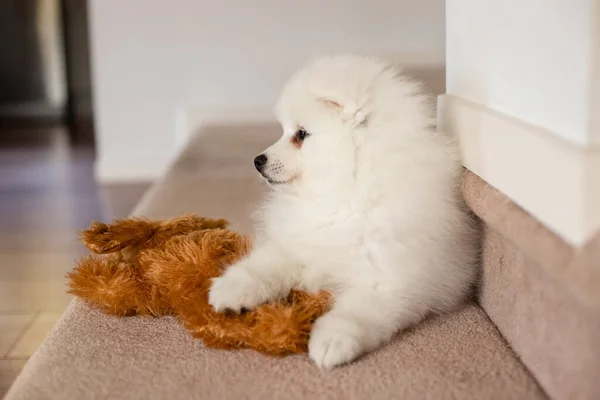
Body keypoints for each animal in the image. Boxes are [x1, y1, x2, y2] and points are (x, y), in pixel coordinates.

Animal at [210, 54, 478, 370]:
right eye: (285, 130)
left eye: (301, 134)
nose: (257, 160)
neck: (344, 195)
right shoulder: (300, 244)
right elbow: (264, 265)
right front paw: (230, 288)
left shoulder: (387, 280)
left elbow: (354, 314)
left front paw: (331, 341)